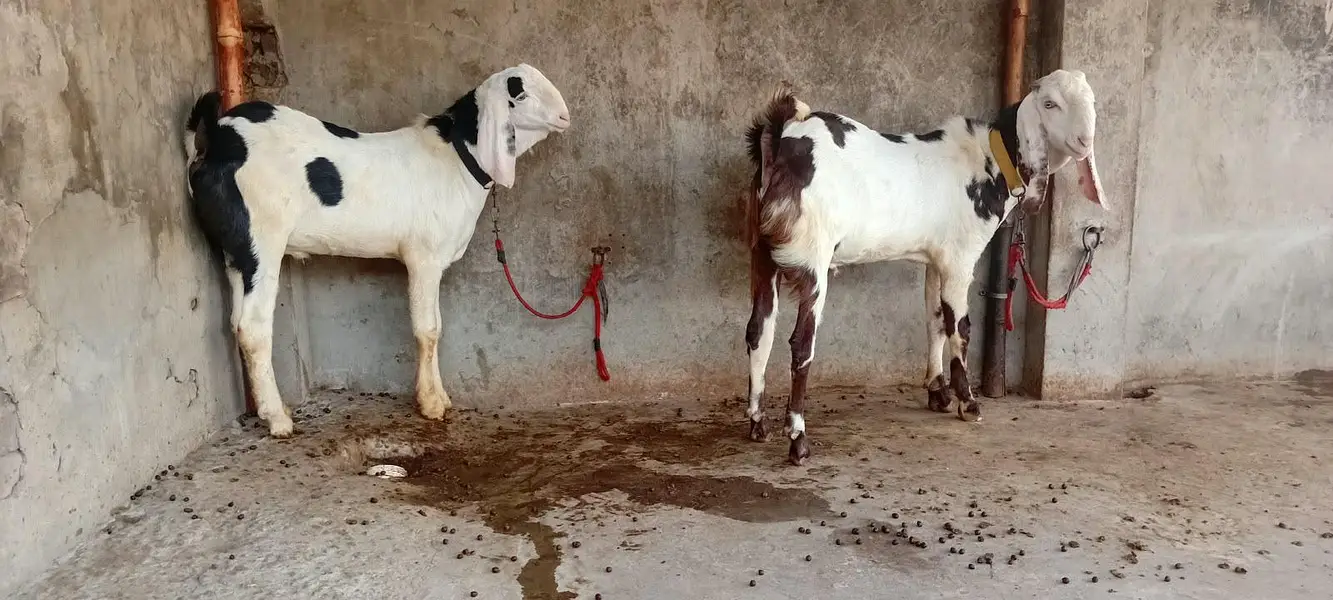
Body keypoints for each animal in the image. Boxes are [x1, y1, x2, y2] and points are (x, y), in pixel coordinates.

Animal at [184, 64, 571, 437]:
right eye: (519, 94)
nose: (565, 116)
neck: (456, 158)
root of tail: (215, 140)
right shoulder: (423, 257)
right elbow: (428, 329)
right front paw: (431, 404)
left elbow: (437, 325)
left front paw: (441, 397)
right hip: (261, 238)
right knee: (253, 327)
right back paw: (278, 419)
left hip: (235, 250)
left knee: (236, 323)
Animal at [741, 69, 1108, 465]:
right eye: (1050, 103)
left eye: (1091, 101)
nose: (1084, 141)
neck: (988, 160)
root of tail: (780, 140)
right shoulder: (961, 258)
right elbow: (960, 327)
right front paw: (968, 402)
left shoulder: (936, 260)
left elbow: (935, 320)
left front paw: (937, 391)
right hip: (813, 259)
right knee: (801, 345)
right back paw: (798, 439)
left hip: (762, 254)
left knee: (758, 331)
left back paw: (758, 424)